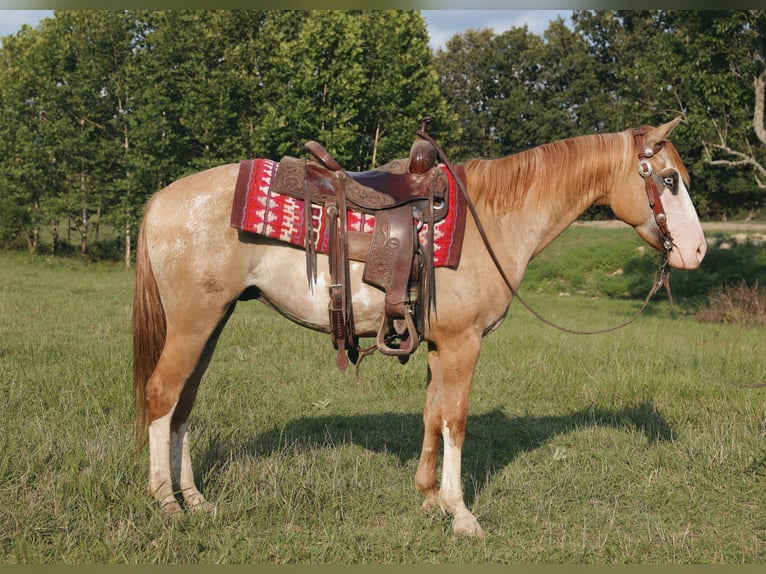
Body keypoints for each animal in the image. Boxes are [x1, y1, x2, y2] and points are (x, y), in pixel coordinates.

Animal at [132, 117, 706, 537]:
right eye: (670, 180)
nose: (698, 252)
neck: (493, 220)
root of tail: (161, 199)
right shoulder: (462, 345)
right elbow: (456, 420)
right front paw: (462, 514)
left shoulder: (437, 345)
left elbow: (432, 415)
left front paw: (430, 499)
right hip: (194, 322)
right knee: (162, 395)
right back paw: (165, 501)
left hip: (213, 322)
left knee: (185, 403)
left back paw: (197, 500)